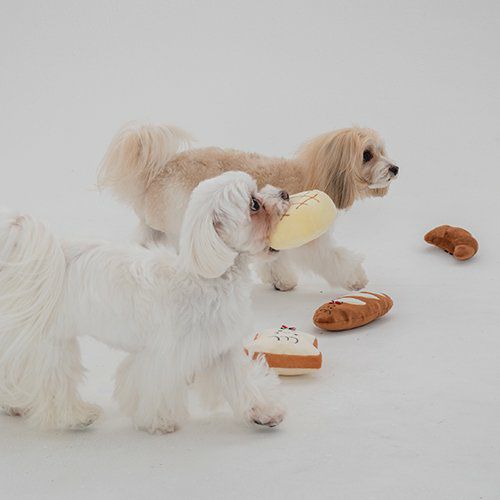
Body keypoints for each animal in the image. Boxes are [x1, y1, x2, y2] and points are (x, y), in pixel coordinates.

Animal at [0, 172, 289, 433]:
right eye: (254, 204)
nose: (284, 193)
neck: (203, 275)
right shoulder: (164, 354)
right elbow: (154, 386)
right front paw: (160, 421)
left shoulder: (219, 346)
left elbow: (243, 381)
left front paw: (264, 412)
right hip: (50, 340)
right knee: (52, 379)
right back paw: (75, 416)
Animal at [98, 123, 398, 291]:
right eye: (367, 155)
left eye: (382, 151)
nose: (395, 168)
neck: (315, 172)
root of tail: (156, 173)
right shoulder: (311, 241)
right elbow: (335, 258)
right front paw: (356, 279)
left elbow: (276, 260)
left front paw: (281, 282)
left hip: (152, 230)